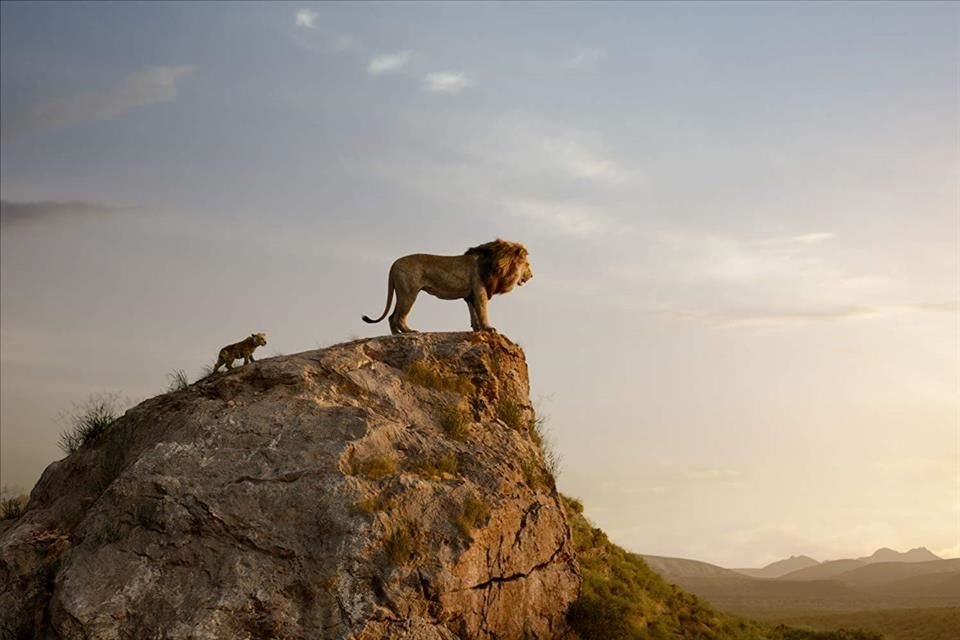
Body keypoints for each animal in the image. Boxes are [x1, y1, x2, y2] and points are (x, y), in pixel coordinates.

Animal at [364, 239, 536, 336]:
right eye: (527, 265)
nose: (532, 275)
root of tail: (394, 264)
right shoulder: (480, 289)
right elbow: (482, 310)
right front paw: (488, 329)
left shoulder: (470, 294)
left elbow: (474, 313)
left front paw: (477, 329)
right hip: (409, 293)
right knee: (399, 316)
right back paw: (408, 332)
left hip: (401, 292)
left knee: (391, 316)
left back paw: (395, 335)